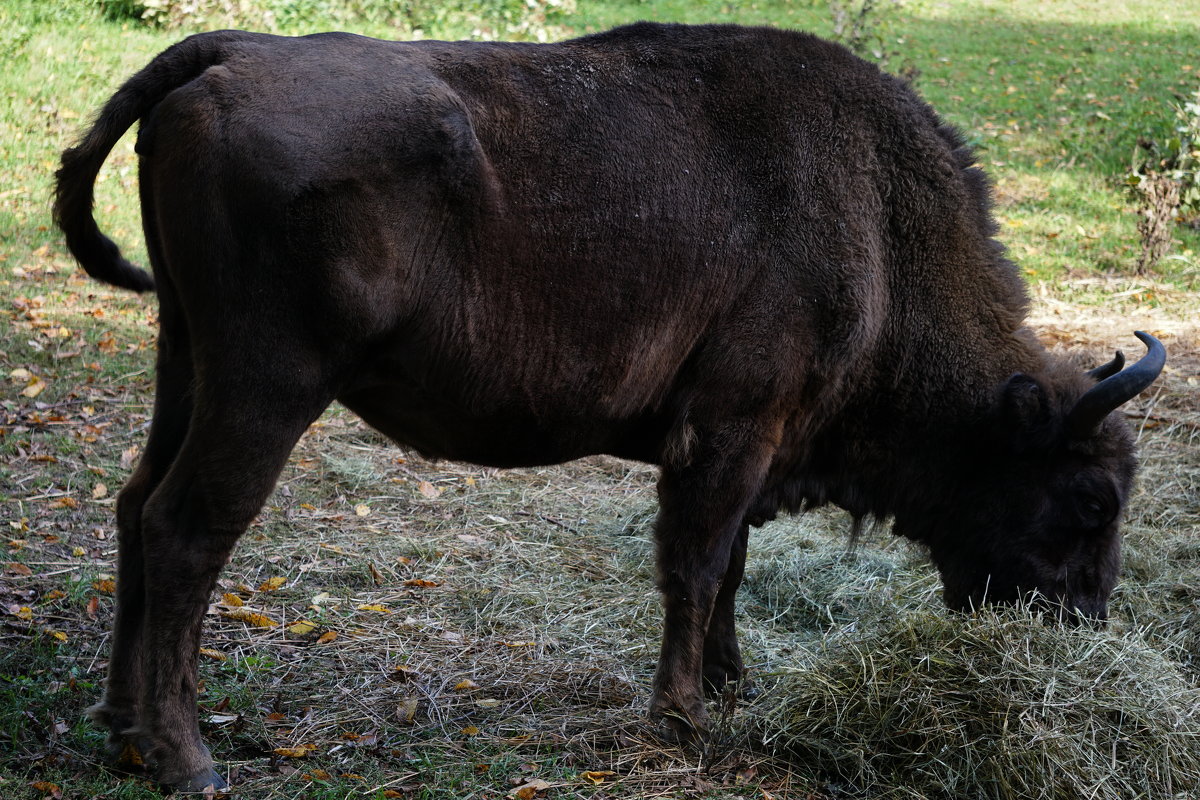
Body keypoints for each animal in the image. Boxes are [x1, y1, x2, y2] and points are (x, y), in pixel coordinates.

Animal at [54, 21, 1161, 791]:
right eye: (1088, 499)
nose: (1086, 626)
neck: (875, 219)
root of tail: (231, 50)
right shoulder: (730, 430)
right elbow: (696, 566)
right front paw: (682, 718)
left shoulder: (745, 450)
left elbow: (727, 568)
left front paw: (729, 683)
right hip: (268, 386)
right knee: (187, 526)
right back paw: (187, 757)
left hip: (184, 357)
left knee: (135, 506)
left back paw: (119, 725)